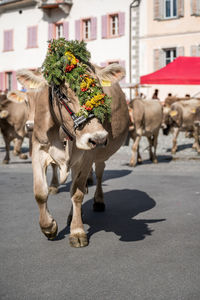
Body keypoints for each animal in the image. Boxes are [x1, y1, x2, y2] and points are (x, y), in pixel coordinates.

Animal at [16, 38, 128, 247]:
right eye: (63, 94)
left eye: (100, 90)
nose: (98, 138)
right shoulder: (38, 148)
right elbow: (40, 192)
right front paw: (48, 227)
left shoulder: (86, 156)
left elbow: (77, 193)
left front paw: (77, 231)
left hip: (99, 155)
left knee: (98, 173)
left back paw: (97, 202)